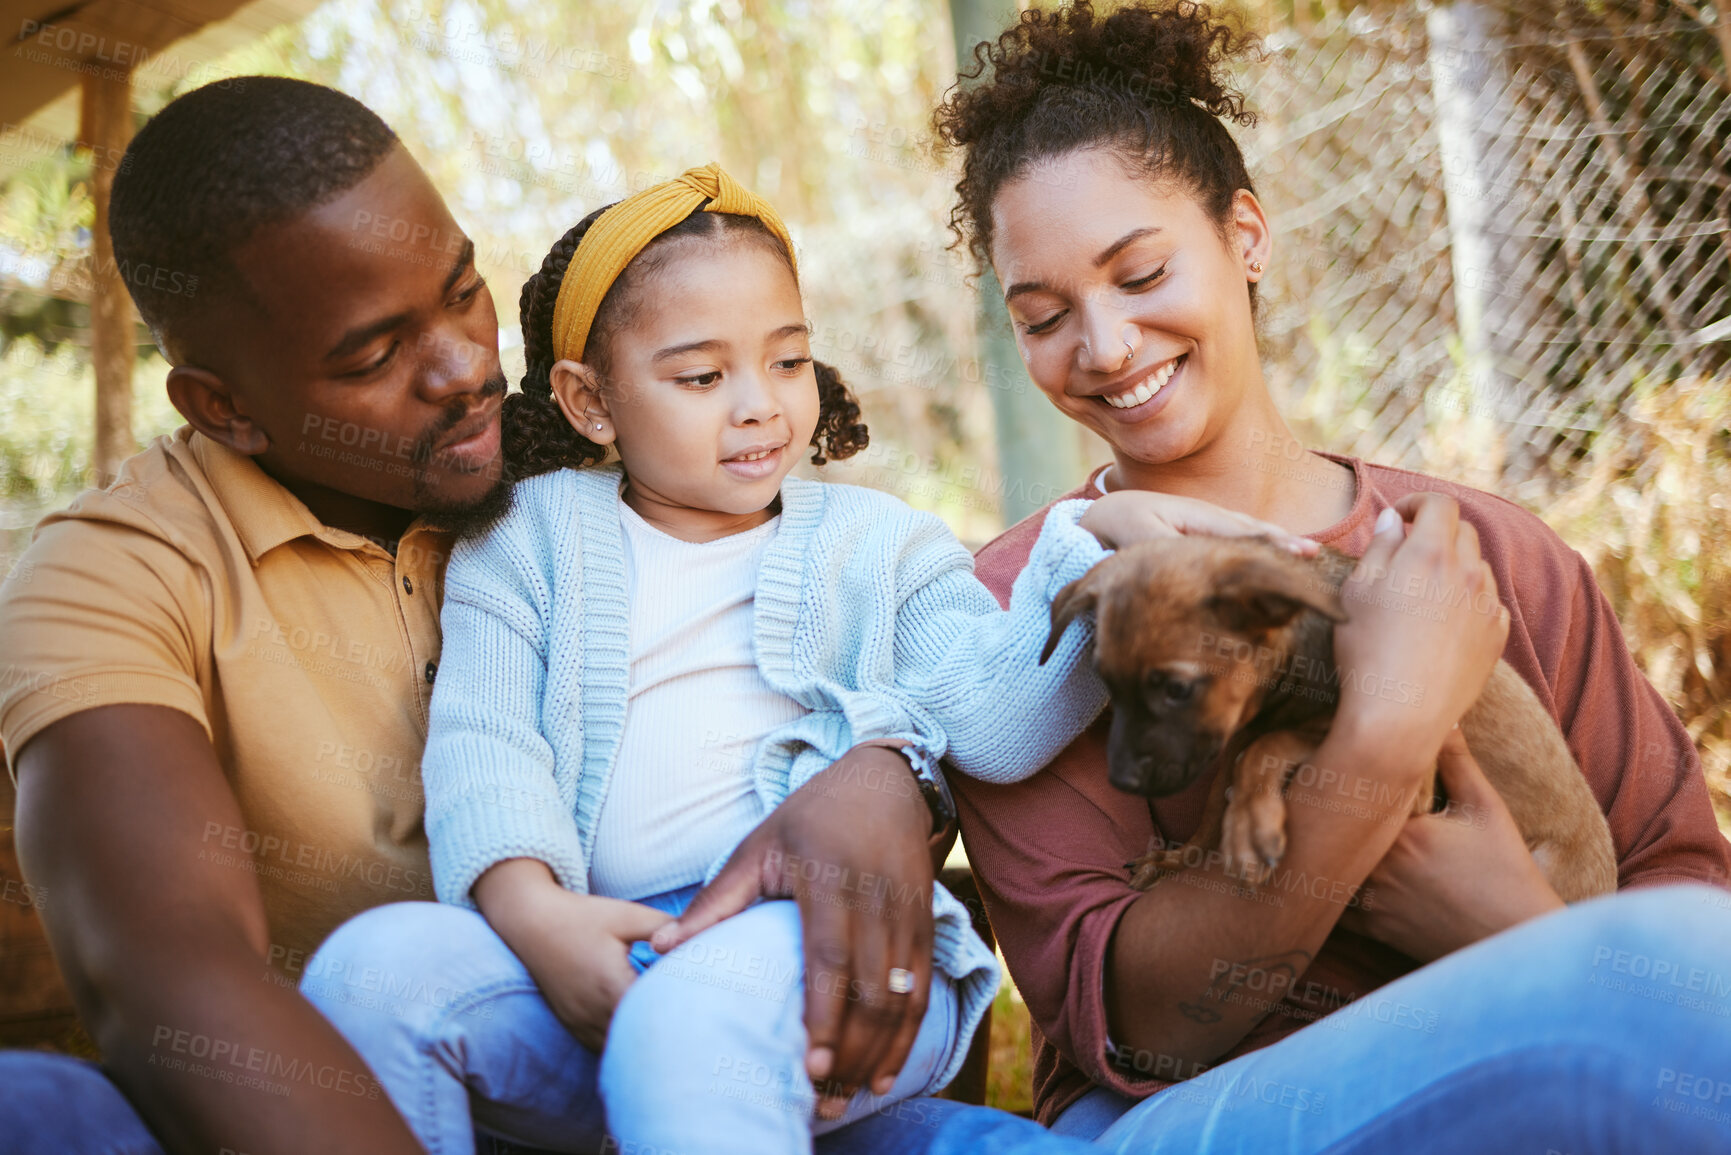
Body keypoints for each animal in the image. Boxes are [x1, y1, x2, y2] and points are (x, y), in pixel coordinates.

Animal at [1038, 536, 1620, 907]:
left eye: (1178, 689)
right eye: (1105, 682)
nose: (1120, 781)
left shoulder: (1410, 783)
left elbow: (1265, 749)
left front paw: (1250, 824)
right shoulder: (1231, 735)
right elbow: (1212, 807)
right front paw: (1177, 860)